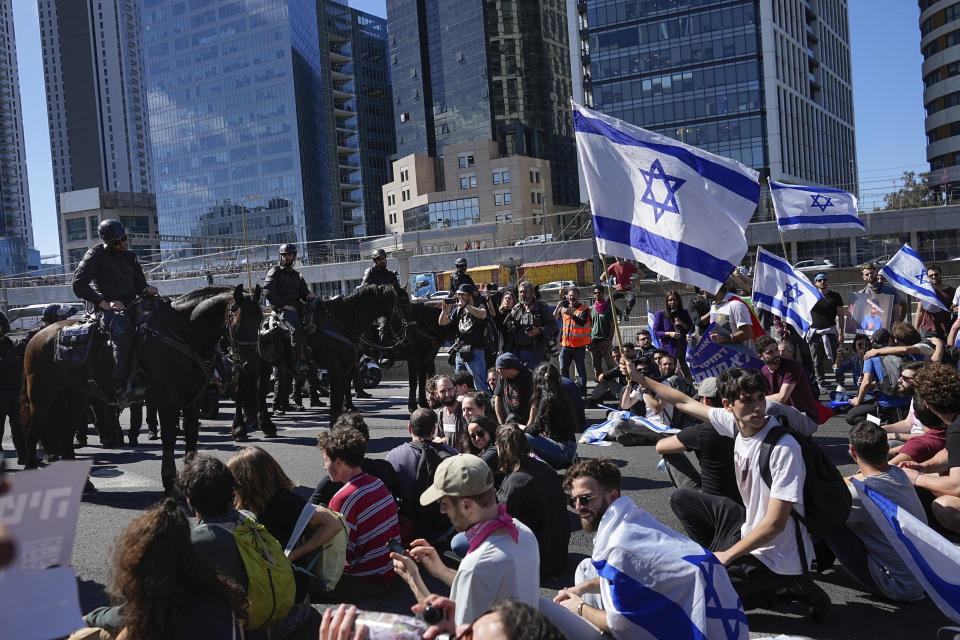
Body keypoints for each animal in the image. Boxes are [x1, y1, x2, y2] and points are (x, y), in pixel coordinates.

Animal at [21, 286, 262, 496]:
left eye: (260, 320)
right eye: (238, 323)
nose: (251, 364)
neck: (182, 332)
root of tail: (37, 336)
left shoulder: (193, 399)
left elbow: (192, 438)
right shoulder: (168, 400)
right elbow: (169, 439)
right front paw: (169, 481)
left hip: (77, 395)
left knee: (66, 432)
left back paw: (83, 482)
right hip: (42, 394)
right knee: (32, 430)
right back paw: (30, 469)